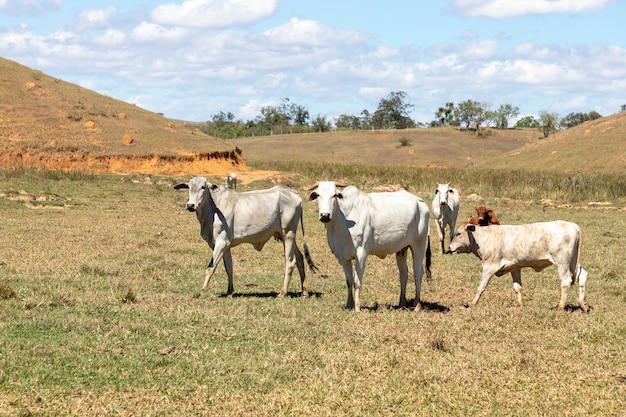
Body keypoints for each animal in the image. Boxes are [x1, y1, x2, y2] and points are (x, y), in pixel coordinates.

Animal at [172, 176, 314, 296]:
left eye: (203, 187)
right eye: (189, 187)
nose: (190, 205)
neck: (213, 208)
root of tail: (293, 193)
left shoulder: (221, 242)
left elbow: (211, 267)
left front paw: (203, 289)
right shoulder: (225, 246)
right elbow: (229, 267)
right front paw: (230, 291)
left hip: (288, 234)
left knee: (290, 262)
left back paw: (283, 293)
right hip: (286, 237)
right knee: (300, 258)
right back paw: (304, 292)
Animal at [308, 180, 428, 310]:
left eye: (334, 195)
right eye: (318, 195)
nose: (325, 215)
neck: (342, 220)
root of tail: (420, 201)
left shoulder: (361, 253)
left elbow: (357, 282)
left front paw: (357, 308)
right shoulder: (343, 257)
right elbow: (349, 281)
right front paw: (349, 304)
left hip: (419, 244)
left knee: (418, 272)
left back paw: (417, 305)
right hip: (402, 249)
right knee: (403, 273)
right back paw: (402, 303)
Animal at [448, 219, 584, 310]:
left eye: (458, 233)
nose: (449, 247)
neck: (483, 238)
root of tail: (573, 226)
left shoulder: (489, 267)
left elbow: (481, 286)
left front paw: (472, 304)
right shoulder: (515, 268)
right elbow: (517, 287)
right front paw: (521, 305)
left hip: (562, 263)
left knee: (566, 282)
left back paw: (560, 307)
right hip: (573, 262)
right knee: (582, 275)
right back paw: (583, 305)